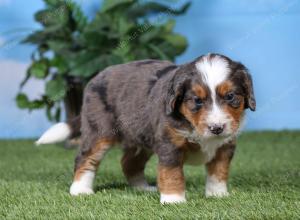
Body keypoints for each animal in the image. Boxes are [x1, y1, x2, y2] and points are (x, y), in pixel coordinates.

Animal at [35, 52, 255, 203]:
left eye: (230, 97)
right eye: (197, 101)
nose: (216, 128)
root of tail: (94, 79)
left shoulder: (225, 146)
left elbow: (219, 171)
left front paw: (217, 194)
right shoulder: (169, 144)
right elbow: (172, 173)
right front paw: (174, 199)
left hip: (141, 138)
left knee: (129, 162)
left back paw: (142, 188)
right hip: (99, 131)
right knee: (85, 158)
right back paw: (80, 189)